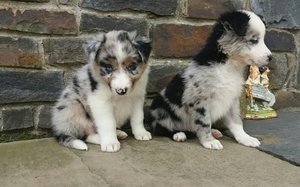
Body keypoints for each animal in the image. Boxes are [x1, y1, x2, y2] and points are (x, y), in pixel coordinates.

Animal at [150, 10, 272, 150]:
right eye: (254, 40)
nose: (271, 57)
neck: (229, 66)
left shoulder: (231, 99)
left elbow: (236, 122)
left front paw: (245, 138)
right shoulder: (200, 100)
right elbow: (204, 123)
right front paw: (209, 141)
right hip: (160, 108)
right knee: (160, 128)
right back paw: (179, 134)